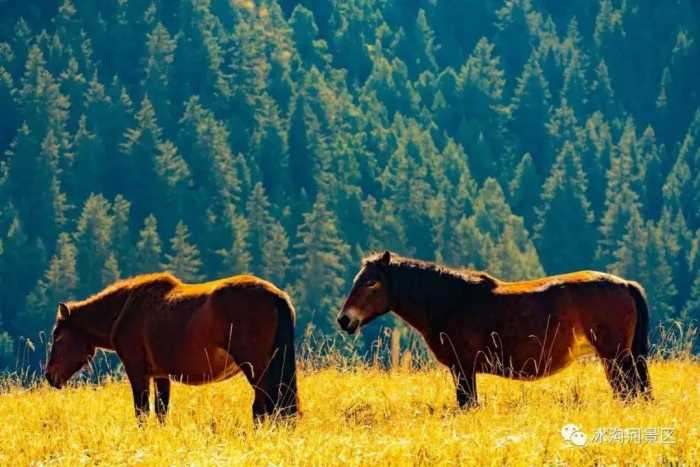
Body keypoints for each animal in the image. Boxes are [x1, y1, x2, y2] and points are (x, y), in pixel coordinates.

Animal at [45, 272, 298, 426]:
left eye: (58, 337)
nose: (49, 376)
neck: (124, 309)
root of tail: (277, 296)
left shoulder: (137, 370)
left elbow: (141, 412)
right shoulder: (160, 375)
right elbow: (161, 412)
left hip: (256, 368)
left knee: (265, 406)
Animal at [336, 252, 652, 410]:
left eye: (372, 282)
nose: (344, 320)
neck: (450, 300)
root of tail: (625, 284)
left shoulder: (463, 368)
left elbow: (468, 405)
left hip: (615, 358)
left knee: (629, 394)